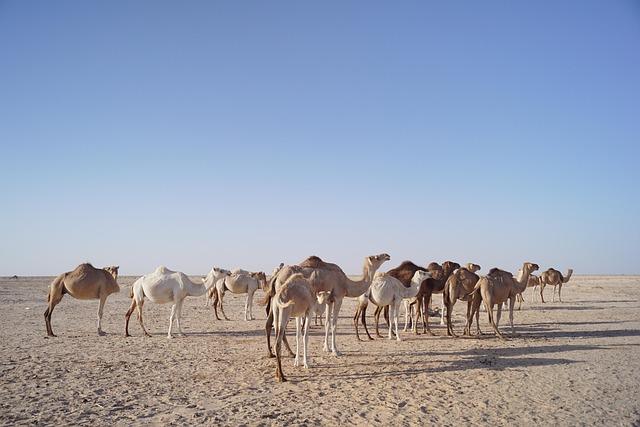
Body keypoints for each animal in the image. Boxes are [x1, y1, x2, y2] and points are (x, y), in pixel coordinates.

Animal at [264, 254, 392, 358]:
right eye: (376, 257)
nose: (387, 255)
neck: (346, 283)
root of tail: (277, 276)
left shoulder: (329, 301)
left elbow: (327, 323)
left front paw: (326, 348)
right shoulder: (338, 298)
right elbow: (334, 324)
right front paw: (336, 351)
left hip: (276, 300)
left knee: (270, 323)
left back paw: (273, 353)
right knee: (280, 327)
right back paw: (289, 353)